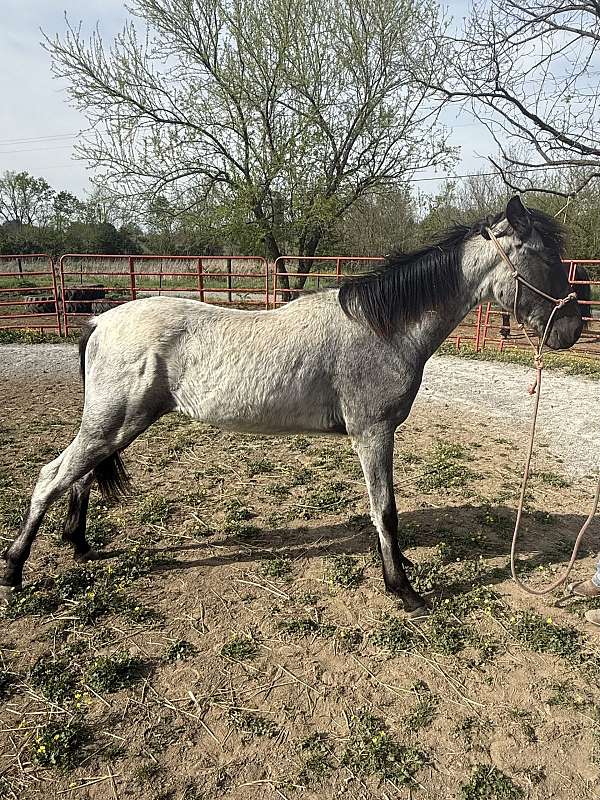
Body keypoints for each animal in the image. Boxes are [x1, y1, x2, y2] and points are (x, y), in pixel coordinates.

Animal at [1, 197, 583, 618]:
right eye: (543, 256)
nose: (573, 329)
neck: (382, 328)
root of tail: (101, 320)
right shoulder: (373, 433)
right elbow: (386, 511)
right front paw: (403, 589)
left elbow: (382, 511)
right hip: (113, 422)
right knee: (52, 476)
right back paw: (14, 570)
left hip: (114, 425)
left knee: (77, 476)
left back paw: (78, 545)